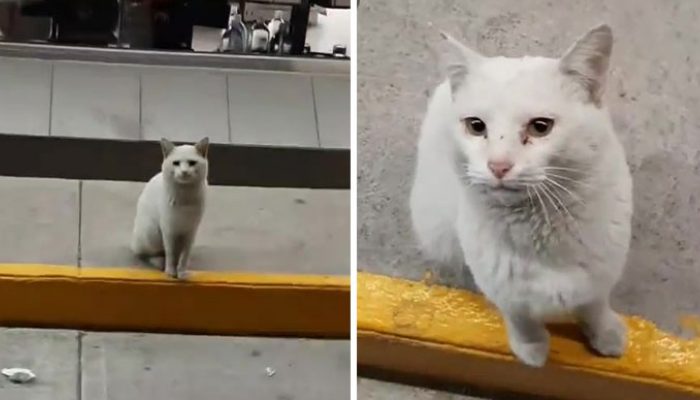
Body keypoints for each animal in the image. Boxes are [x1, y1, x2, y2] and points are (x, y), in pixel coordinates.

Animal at [130, 137, 209, 278]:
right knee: (145, 253)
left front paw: (182, 271)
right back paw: (159, 262)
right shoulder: (169, 230)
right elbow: (171, 253)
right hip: (151, 233)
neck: (185, 196)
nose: (184, 172)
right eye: (176, 163)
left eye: (192, 163)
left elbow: (184, 255)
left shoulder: (191, 231)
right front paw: (171, 271)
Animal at [410, 25, 636, 368]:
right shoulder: (505, 291)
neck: (540, 228)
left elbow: (594, 306)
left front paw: (607, 337)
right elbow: (522, 318)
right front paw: (533, 351)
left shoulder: (599, 276)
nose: (498, 166)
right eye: (476, 126)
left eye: (541, 127)